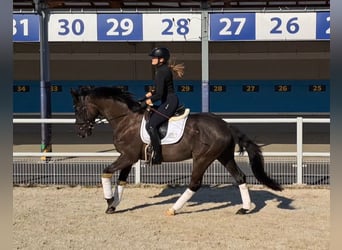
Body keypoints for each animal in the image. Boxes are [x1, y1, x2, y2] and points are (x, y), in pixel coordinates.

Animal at [71, 86, 282, 215]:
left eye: (79, 109)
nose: (81, 132)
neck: (126, 119)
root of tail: (225, 125)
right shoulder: (129, 158)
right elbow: (121, 181)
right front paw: (113, 205)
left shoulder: (127, 156)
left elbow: (106, 172)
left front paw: (108, 201)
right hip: (224, 156)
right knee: (240, 178)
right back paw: (245, 209)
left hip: (202, 158)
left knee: (195, 183)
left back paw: (173, 209)